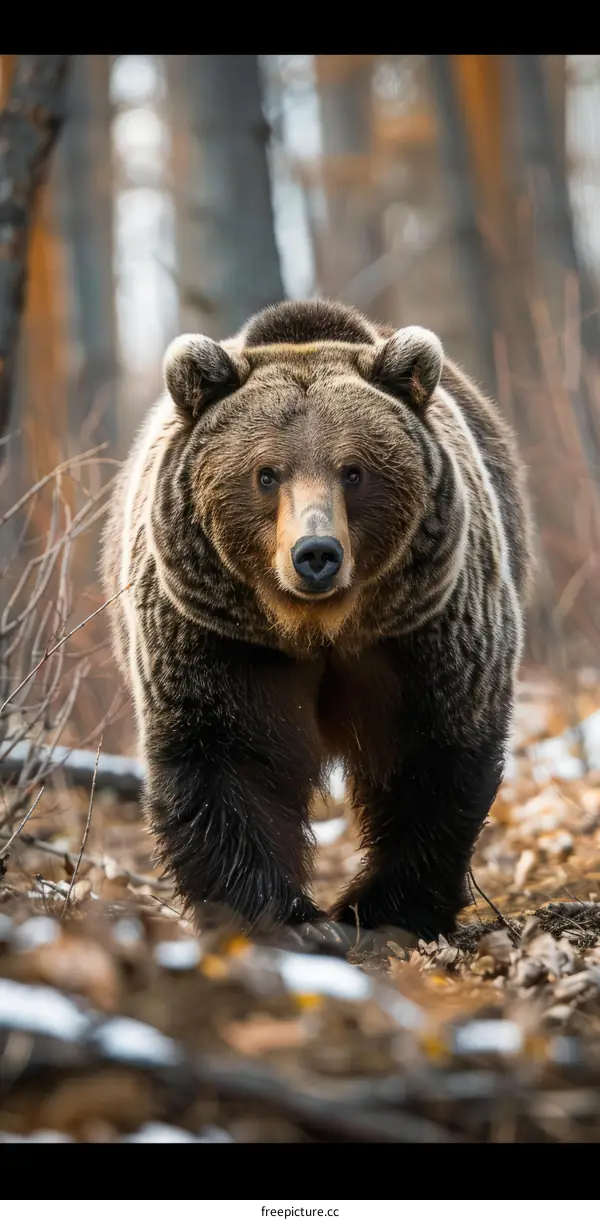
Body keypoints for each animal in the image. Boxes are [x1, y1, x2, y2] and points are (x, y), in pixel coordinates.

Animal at [101, 298, 533, 942]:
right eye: (266, 473)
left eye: (353, 470)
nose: (316, 553)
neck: (319, 627)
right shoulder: (217, 638)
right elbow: (226, 759)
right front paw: (283, 919)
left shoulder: (426, 629)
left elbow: (432, 750)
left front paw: (385, 908)